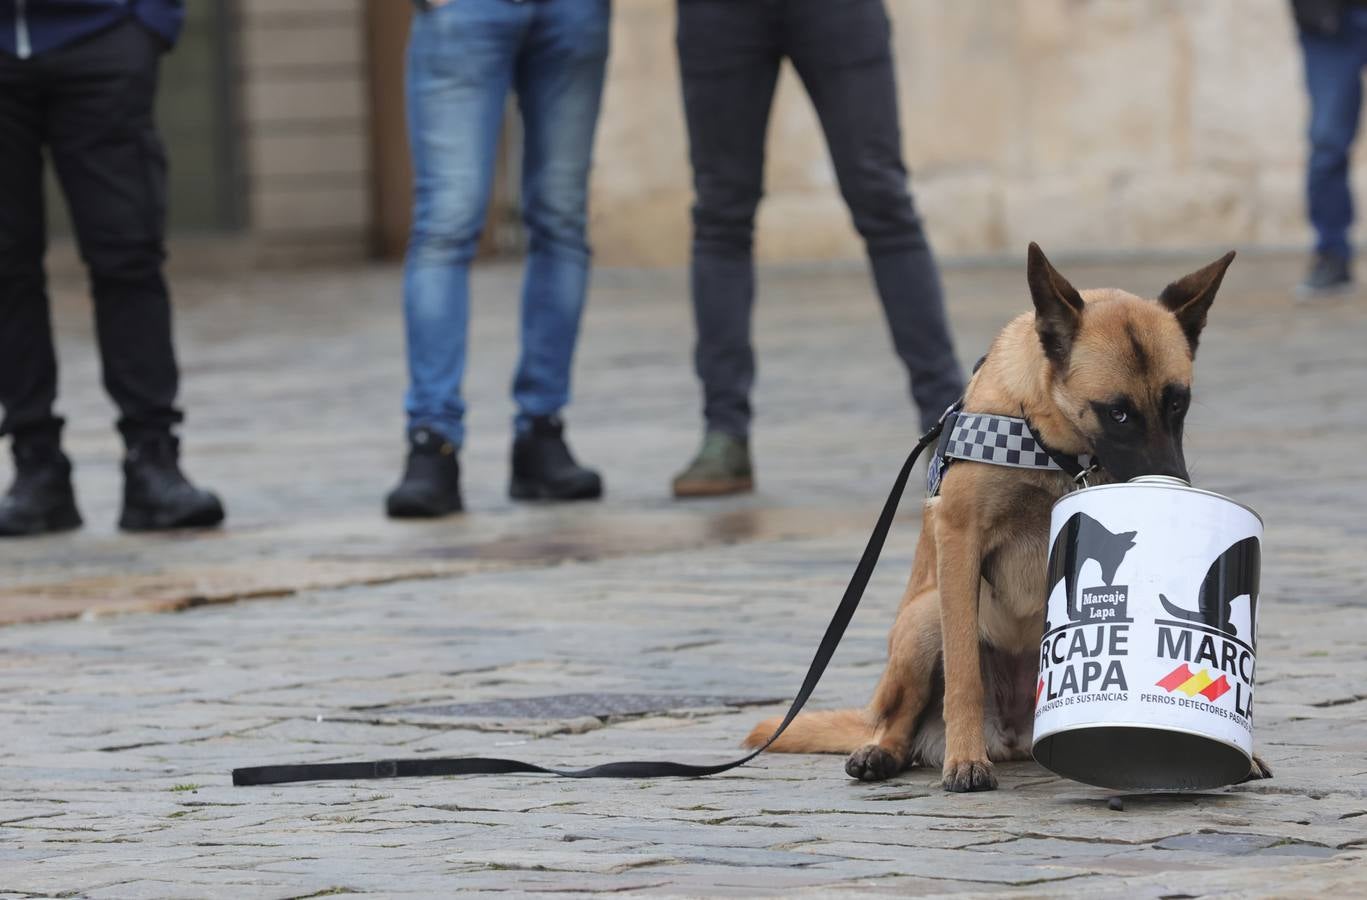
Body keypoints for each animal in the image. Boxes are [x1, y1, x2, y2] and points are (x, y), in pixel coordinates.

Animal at [749, 242, 1268, 787]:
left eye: (1177, 404)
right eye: (1118, 413)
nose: (1172, 484)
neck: (1053, 445)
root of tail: (1014, 736)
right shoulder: (960, 540)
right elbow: (963, 675)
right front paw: (964, 760)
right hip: (924, 617)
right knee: (897, 724)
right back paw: (884, 752)